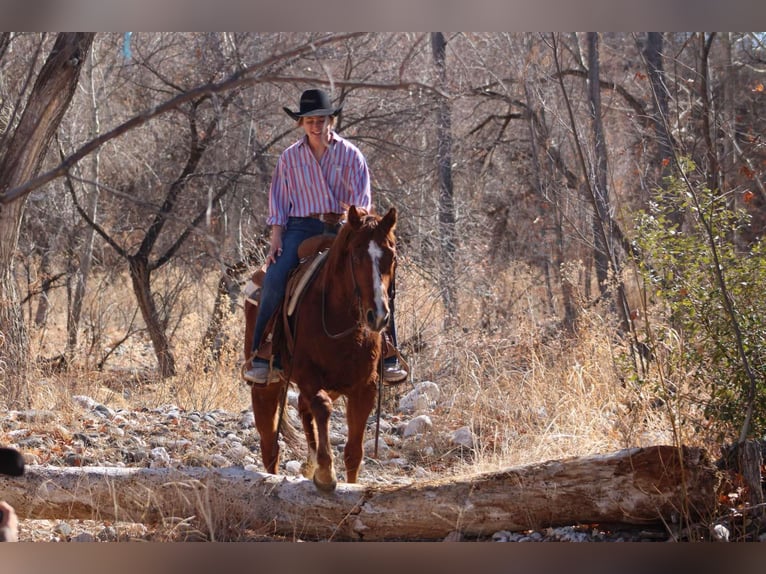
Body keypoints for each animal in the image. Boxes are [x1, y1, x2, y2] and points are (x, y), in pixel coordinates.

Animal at [246, 205, 398, 492]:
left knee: (303, 411)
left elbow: (354, 453)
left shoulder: (365, 387)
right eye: (356, 255)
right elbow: (322, 406)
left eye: (391, 256)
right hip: (266, 387)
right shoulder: (308, 376)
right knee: (270, 445)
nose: (378, 316)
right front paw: (326, 473)